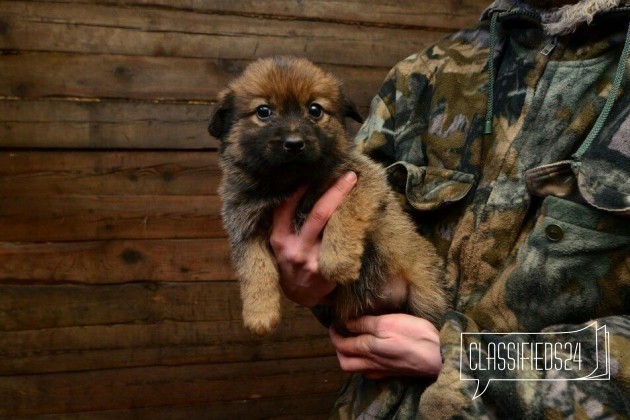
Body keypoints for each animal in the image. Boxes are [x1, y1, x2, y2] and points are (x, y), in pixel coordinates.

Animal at [210, 57, 446, 336]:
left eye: (315, 110)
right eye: (263, 111)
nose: (294, 144)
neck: (289, 182)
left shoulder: (363, 180)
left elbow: (344, 216)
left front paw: (337, 261)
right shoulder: (244, 228)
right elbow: (254, 269)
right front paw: (260, 314)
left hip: (425, 292)